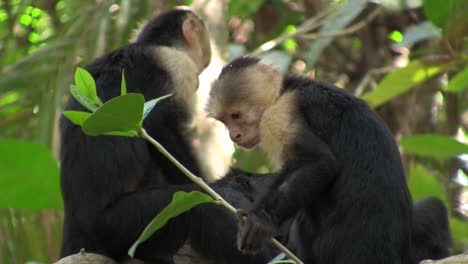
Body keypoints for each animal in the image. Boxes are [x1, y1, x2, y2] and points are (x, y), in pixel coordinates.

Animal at [60, 9, 276, 262]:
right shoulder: (177, 66)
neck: (152, 44)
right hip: (118, 223)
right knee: (200, 206)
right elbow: (156, 125)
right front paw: (210, 183)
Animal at [207, 56, 452, 262]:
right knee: (434, 207)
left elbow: (319, 163)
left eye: (236, 116)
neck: (287, 88)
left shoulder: (277, 115)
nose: (234, 136)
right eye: (225, 121)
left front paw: (261, 221)